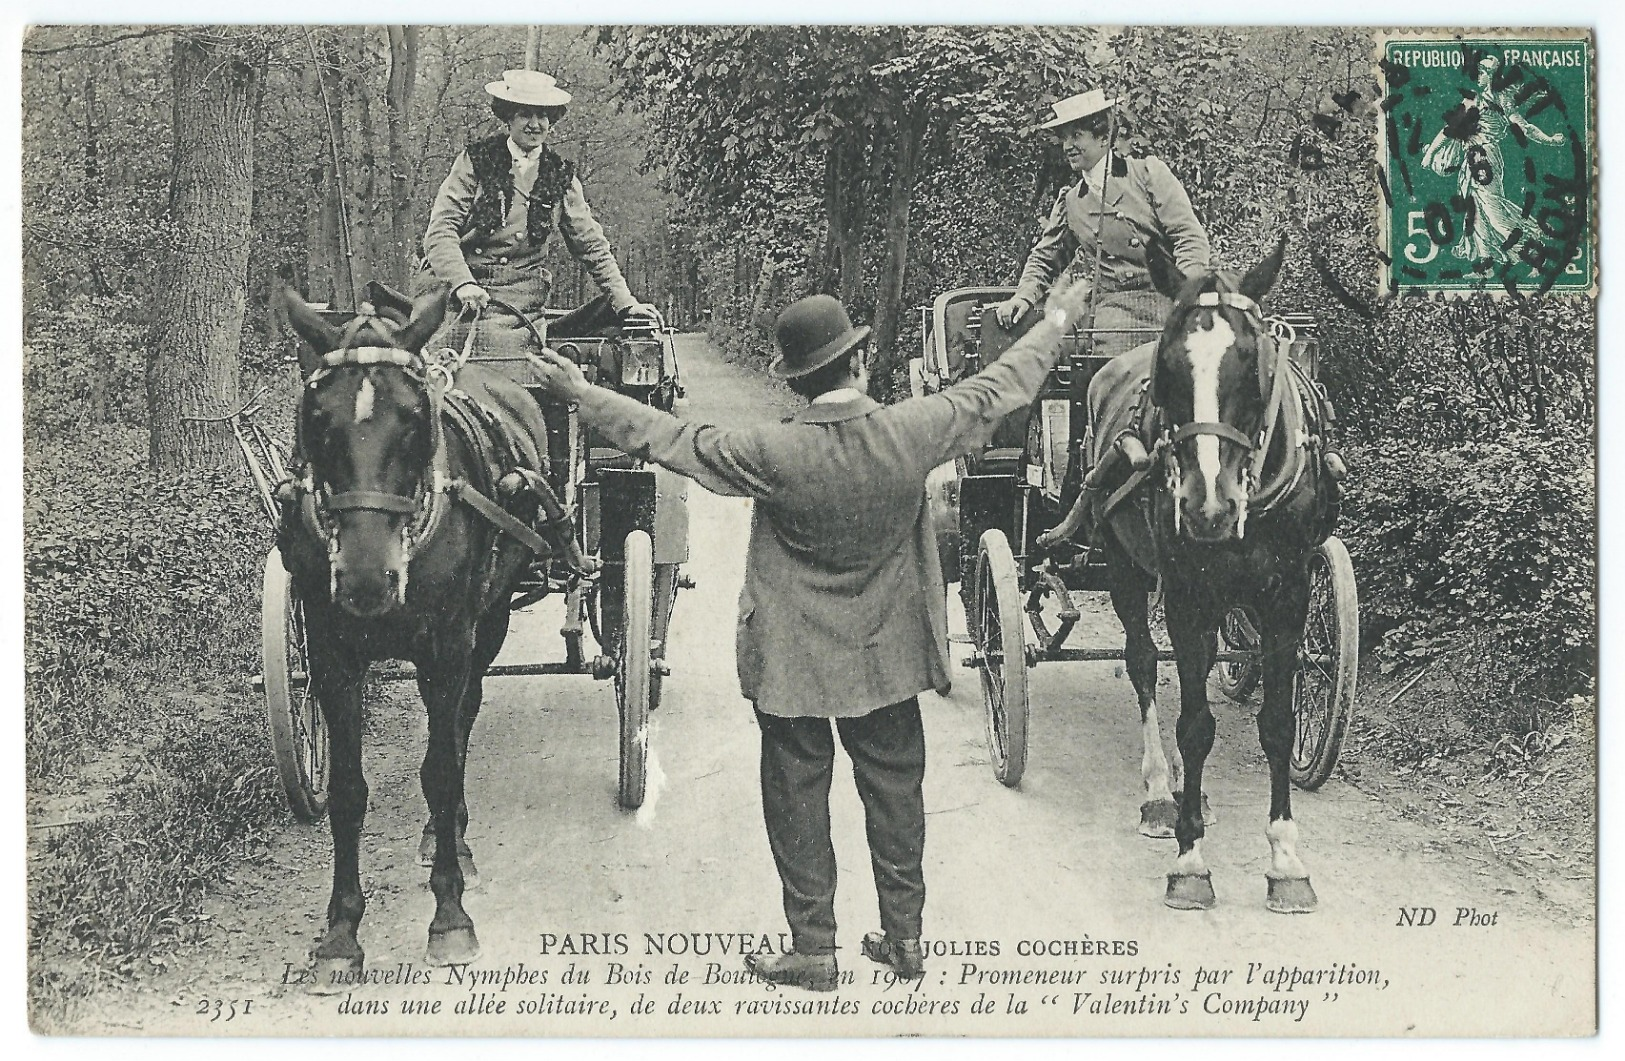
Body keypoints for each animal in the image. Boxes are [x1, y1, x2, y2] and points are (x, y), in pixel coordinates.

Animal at [279, 285, 559, 981]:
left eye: (413, 417)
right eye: (317, 418)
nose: (365, 577)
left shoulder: (448, 649)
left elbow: (439, 769)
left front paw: (450, 915)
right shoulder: (330, 654)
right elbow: (348, 790)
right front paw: (341, 931)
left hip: (490, 620)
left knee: (460, 724)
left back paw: (452, 837)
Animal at [1046, 237, 1339, 909]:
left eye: (1254, 366)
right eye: (1169, 372)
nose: (1208, 506)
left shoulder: (1290, 596)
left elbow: (1277, 724)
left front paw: (1286, 859)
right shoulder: (1184, 594)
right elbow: (1195, 725)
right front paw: (1190, 858)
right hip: (1125, 568)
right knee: (1144, 665)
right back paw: (1161, 790)